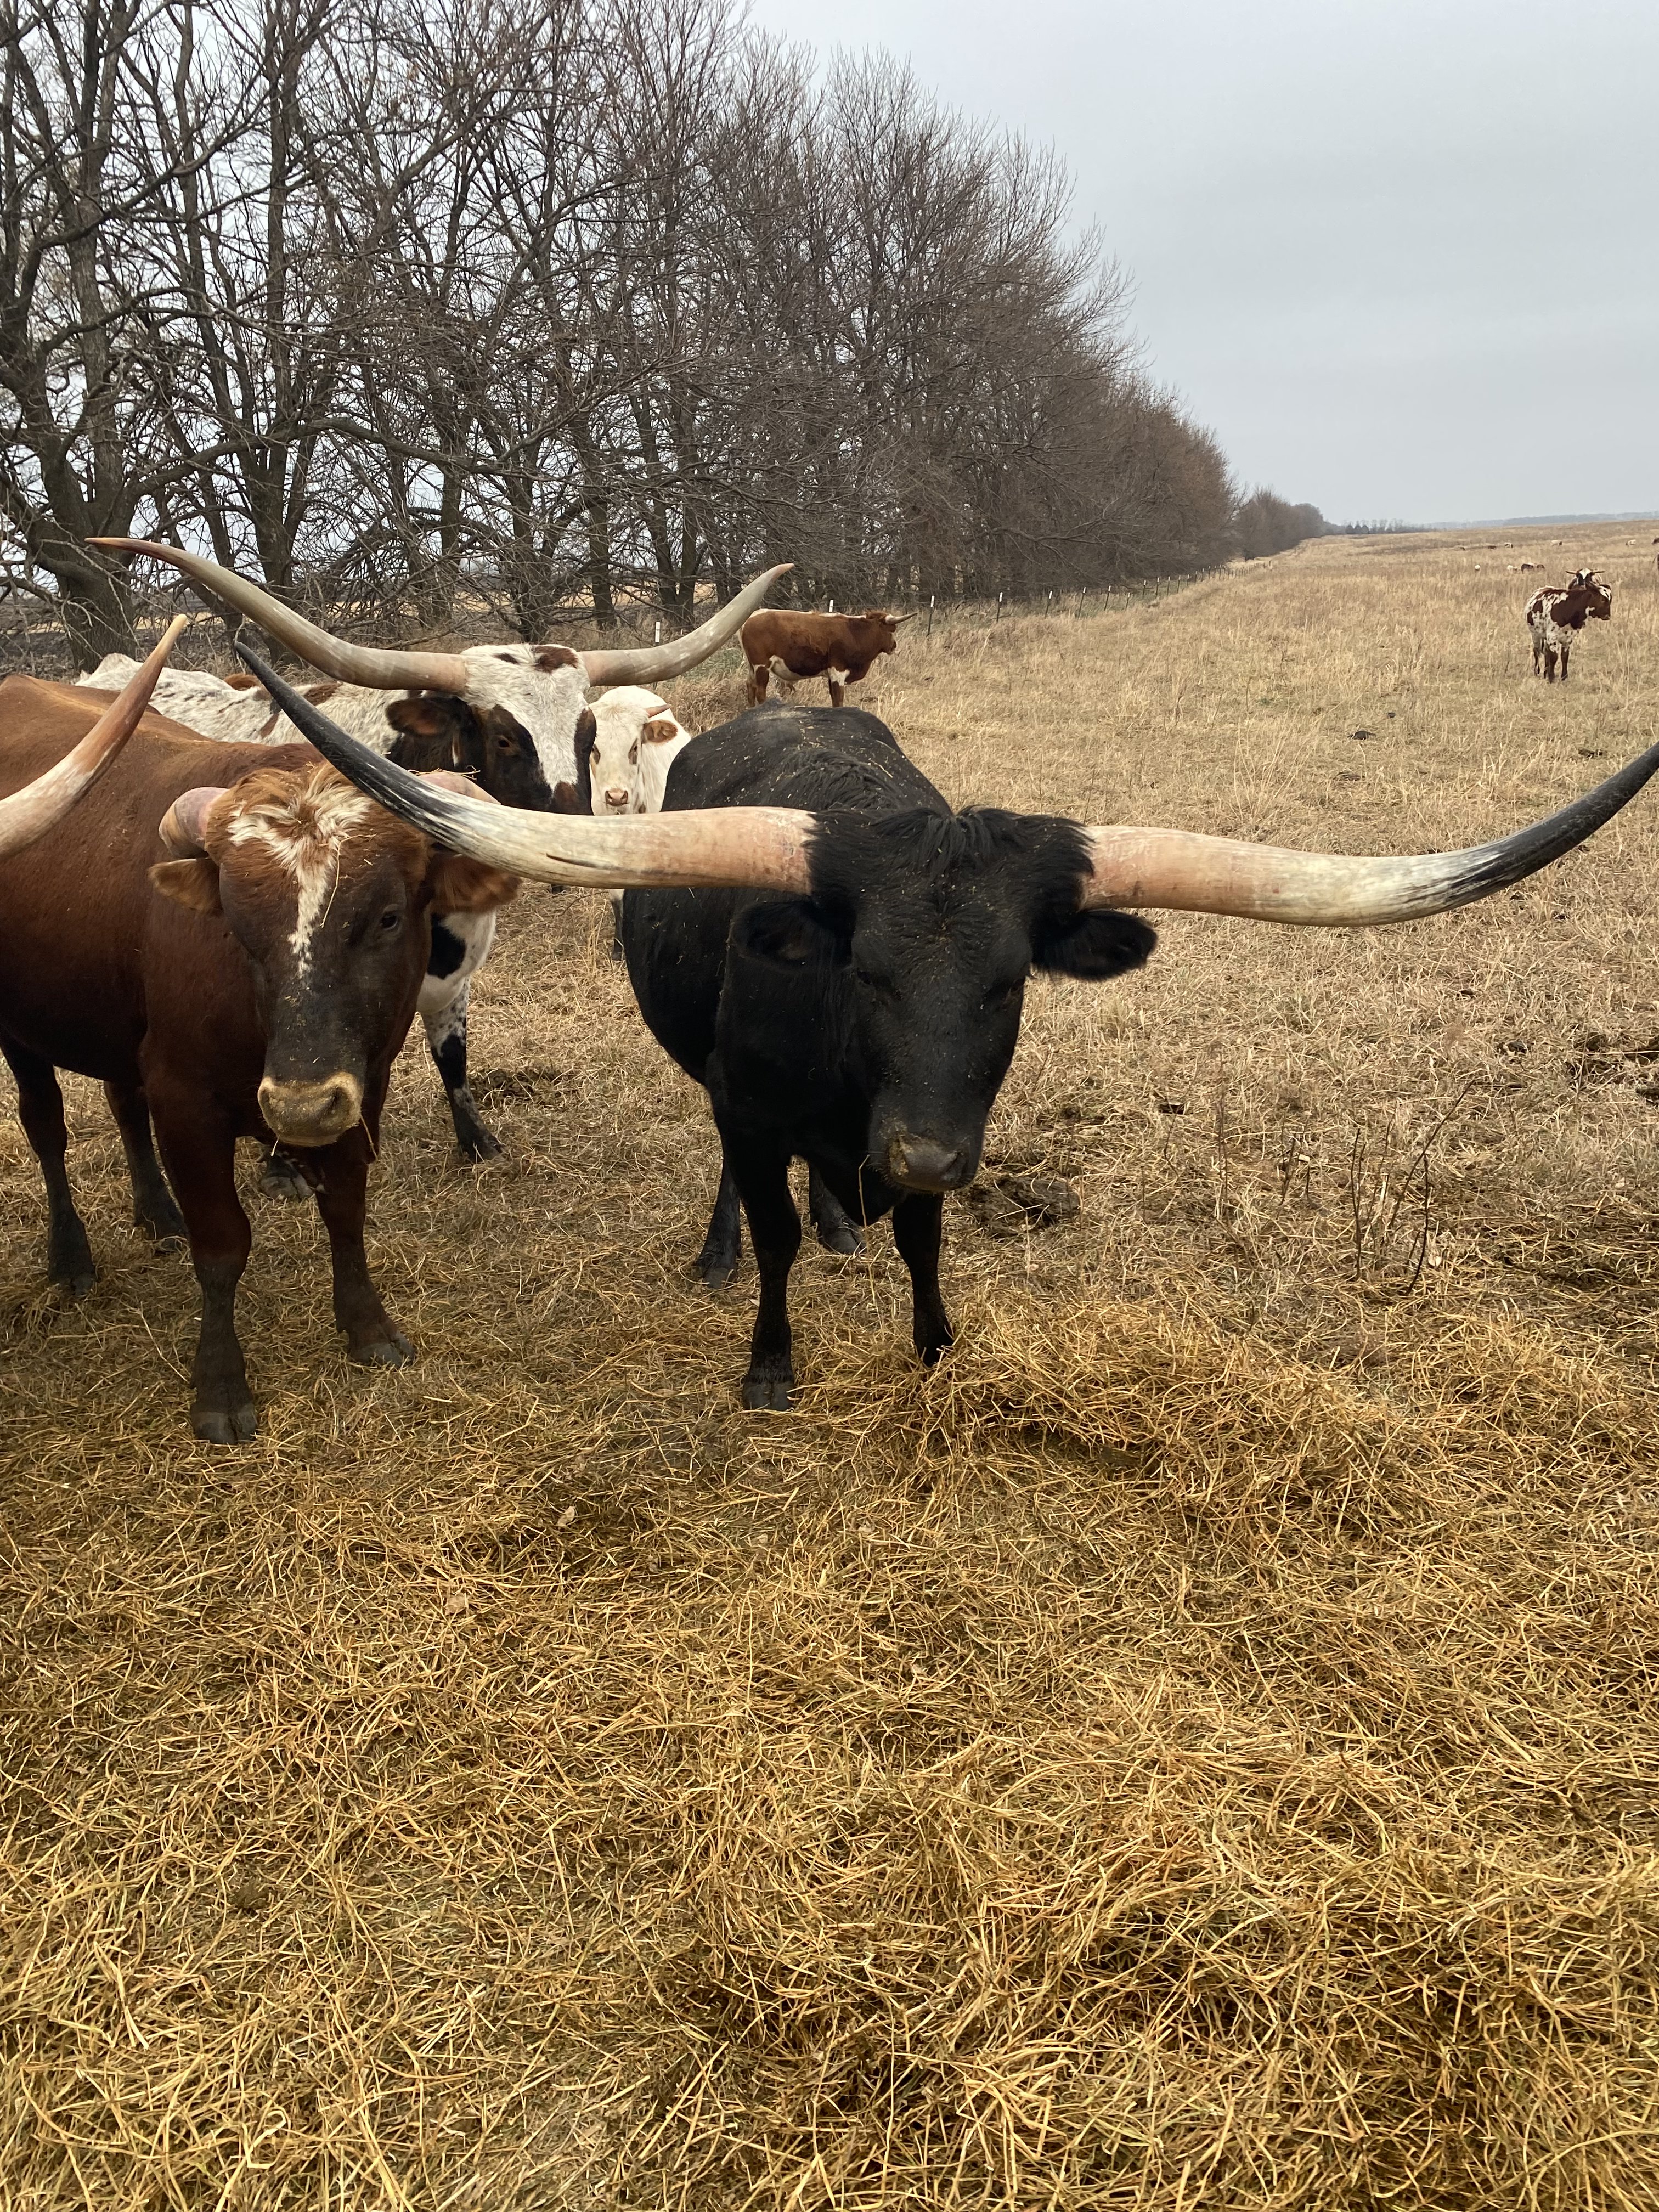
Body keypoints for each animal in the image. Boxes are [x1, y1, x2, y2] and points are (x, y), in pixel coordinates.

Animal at [0, 691, 515, 1440]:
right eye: (238, 925)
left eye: (389, 917)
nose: (298, 1108)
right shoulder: (185, 1103)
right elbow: (221, 1247)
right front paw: (219, 1386)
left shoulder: (362, 1091)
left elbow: (347, 1211)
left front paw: (368, 1329)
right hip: (22, 1034)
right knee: (46, 1129)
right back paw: (70, 1258)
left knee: (123, 1105)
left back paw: (158, 1214)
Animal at [80, 542, 788, 1157]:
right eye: (504, 738)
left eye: (586, 734)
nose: (579, 834)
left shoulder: (458, 971)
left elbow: (452, 1055)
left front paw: (475, 1142)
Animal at [241, 658, 1659, 1412]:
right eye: (861, 973)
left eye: (1008, 985)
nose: (918, 1155)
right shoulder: (756, 1103)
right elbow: (767, 1233)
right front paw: (770, 1363)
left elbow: (924, 1244)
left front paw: (929, 1340)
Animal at [740, 608, 911, 709]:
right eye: (891, 631)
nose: (894, 645)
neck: (855, 632)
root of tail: (752, 617)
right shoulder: (838, 671)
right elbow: (839, 699)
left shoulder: (831, 674)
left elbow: (834, 698)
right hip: (762, 666)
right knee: (760, 691)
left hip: (752, 667)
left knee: (750, 686)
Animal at [1526, 570, 1613, 680]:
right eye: (1602, 599)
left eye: (1610, 600)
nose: (1607, 616)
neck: (1569, 606)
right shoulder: (1552, 636)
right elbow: (1554, 657)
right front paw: (1552, 678)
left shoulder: (1568, 638)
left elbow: (1564, 657)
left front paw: (1564, 677)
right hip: (1535, 634)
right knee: (1537, 652)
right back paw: (1537, 673)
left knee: (1545, 652)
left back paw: (1545, 674)